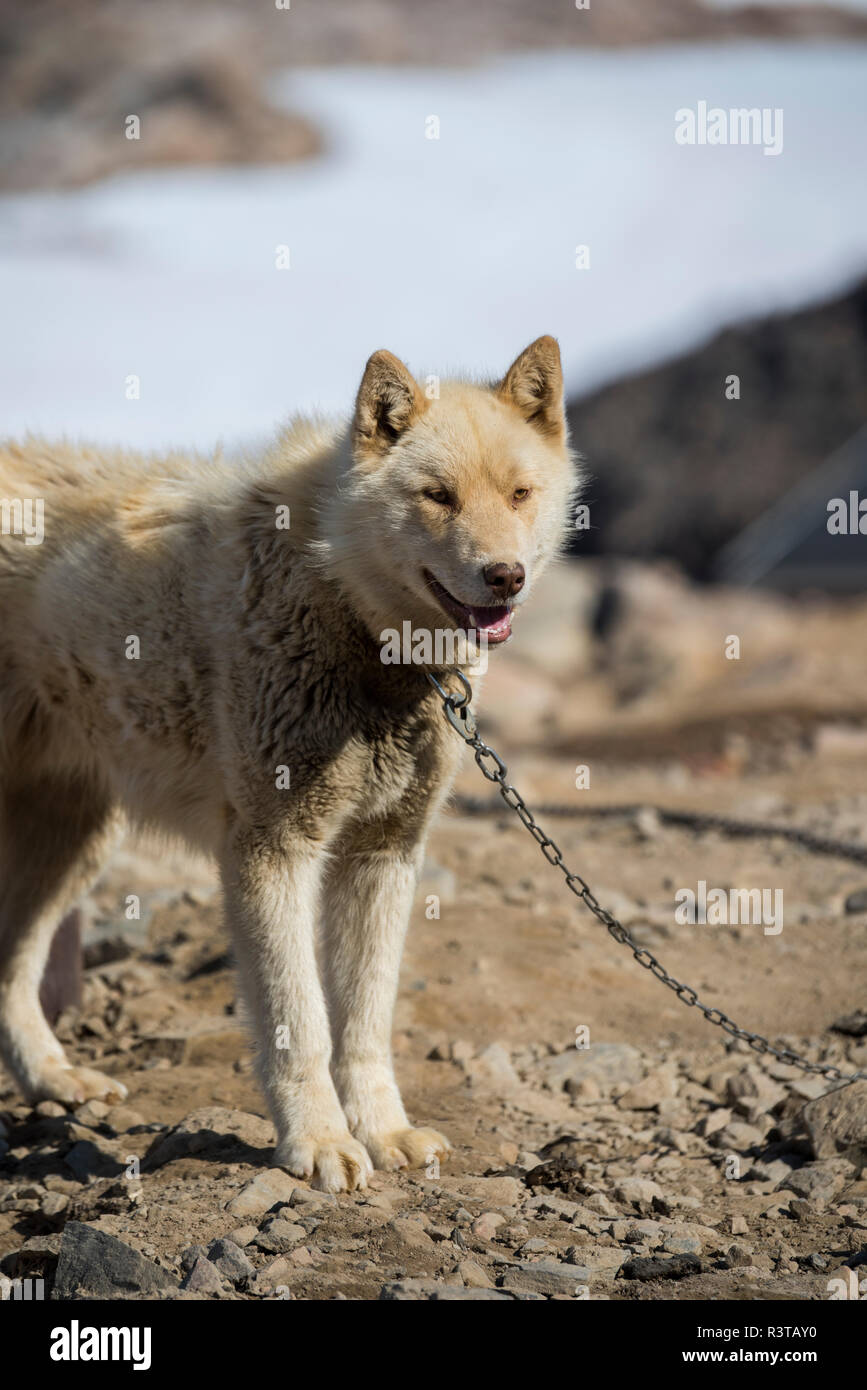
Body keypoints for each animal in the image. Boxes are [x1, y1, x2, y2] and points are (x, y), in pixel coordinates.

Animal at [1, 333, 583, 1184]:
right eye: (437, 495)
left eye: (518, 493)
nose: (504, 576)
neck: (349, 613)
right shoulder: (271, 850)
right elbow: (297, 1022)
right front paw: (319, 1143)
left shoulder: (383, 857)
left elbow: (365, 1021)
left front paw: (382, 1131)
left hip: (76, 840)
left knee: (10, 966)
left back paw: (53, 1079)